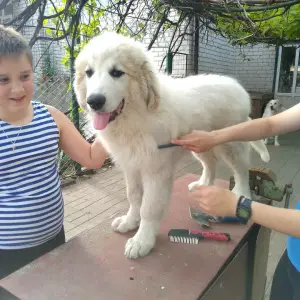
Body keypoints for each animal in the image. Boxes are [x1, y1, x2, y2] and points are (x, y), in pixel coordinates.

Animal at [73, 31, 270, 258]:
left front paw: (142, 240)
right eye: (89, 72)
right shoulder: (131, 165)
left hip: (231, 143)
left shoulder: (156, 171)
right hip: (198, 143)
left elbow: (149, 207)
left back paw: (242, 193)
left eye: (116, 72)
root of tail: (237, 86)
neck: (137, 116)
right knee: (210, 163)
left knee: (241, 169)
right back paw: (203, 184)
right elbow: (133, 196)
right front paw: (130, 221)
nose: (94, 101)